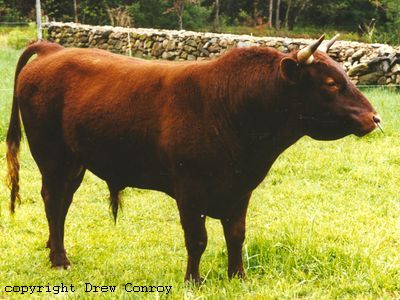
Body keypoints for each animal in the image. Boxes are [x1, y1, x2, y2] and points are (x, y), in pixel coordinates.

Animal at [7, 35, 382, 282]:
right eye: (331, 83)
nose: (374, 118)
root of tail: (54, 50)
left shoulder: (240, 190)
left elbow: (236, 234)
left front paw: (237, 276)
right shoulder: (189, 190)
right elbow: (197, 239)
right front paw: (193, 280)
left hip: (74, 162)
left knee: (61, 203)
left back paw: (52, 248)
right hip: (51, 156)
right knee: (53, 200)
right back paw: (59, 258)